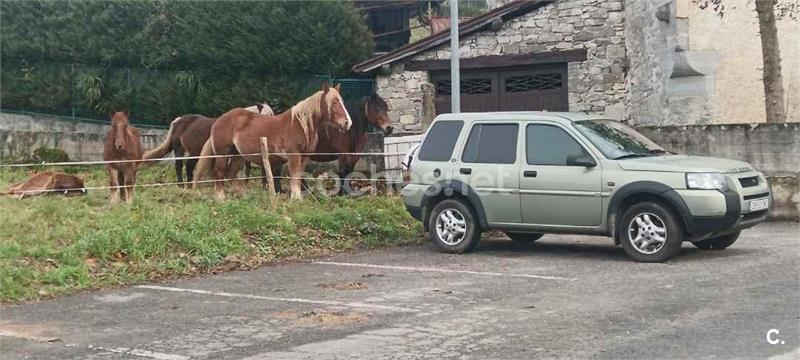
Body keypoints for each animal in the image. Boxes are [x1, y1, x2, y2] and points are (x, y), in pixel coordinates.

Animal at [141, 101, 272, 186]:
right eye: (265, 115)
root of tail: (177, 120)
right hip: (180, 149)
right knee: (179, 165)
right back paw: (182, 185)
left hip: (194, 151)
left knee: (189, 166)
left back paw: (190, 184)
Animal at [192, 82, 352, 201]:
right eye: (334, 102)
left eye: (342, 102)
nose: (347, 123)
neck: (300, 125)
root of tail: (219, 120)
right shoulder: (293, 156)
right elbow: (294, 176)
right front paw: (296, 199)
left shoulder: (304, 157)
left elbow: (299, 176)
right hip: (222, 153)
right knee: (219, 172)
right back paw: (221, 198)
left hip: (238, 155)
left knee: (230, 174)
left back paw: (241, 196)